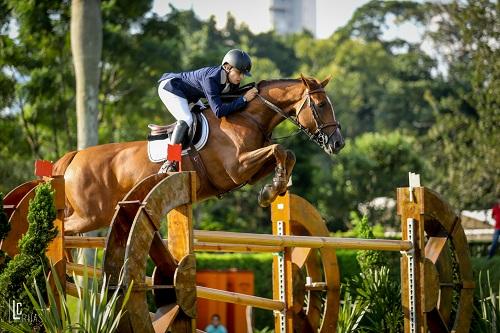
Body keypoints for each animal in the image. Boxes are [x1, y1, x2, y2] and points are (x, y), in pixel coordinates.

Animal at [54, 75, 344, 232]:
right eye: (320, 105)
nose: (338, 143)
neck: (247, 117)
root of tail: (75, 156)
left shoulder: (248, 171)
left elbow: (286, 153)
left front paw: (272, 189)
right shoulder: (236, 168)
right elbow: (279, 149)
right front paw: (272, 190)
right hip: (91, 215)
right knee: (60, 229)